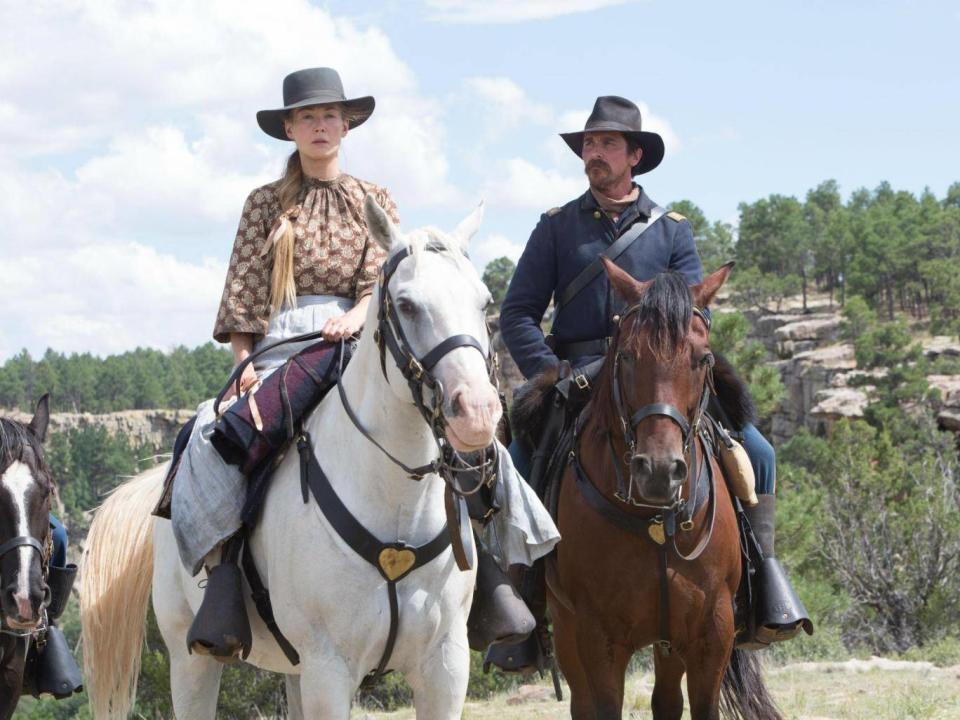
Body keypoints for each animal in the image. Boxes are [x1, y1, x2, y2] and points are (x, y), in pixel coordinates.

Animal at [82, 198, 502, 720]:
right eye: (406, 304)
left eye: (484, 302)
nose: (477, 413)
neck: (395, 507)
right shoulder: (329, 669)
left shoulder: (444, 665)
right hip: (189, 657)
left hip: (295, 670)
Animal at [548, 264, 780, 720]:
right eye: (626, 356)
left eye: (703, 359)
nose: (659, 472)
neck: (654, 521)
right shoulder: (598, 637)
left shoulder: (712, 633)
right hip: (566, 628)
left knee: (667, 700)